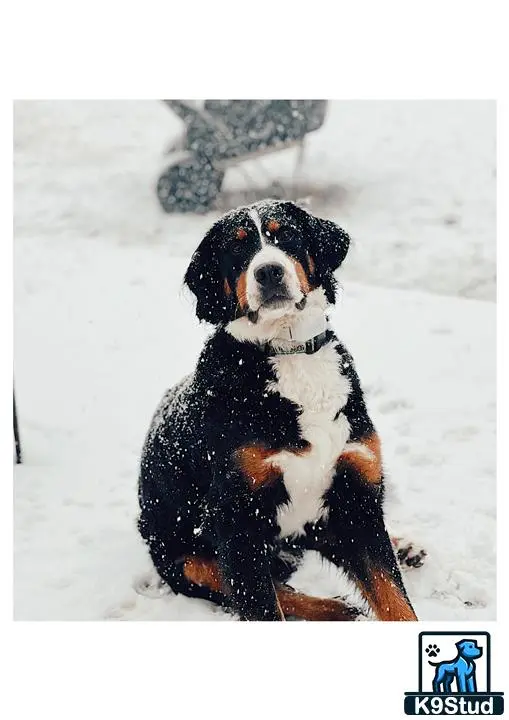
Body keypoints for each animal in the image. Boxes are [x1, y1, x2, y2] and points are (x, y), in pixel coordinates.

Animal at [137, 200, 418, 620]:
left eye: (285, 234)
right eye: (236, 247)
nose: (268, 271)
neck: (288, 352)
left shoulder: (357, 493)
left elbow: (395, 599)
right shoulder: (237, 519)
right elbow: (261, 603)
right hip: (186, 560)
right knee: (267, 588)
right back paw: (335, 607)